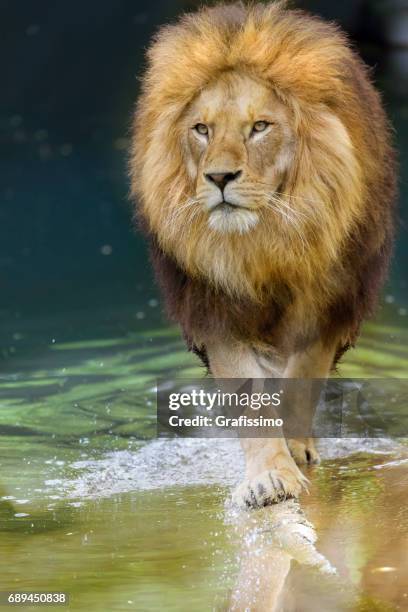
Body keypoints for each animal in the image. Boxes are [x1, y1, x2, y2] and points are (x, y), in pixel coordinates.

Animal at [129, 1, 396, 506]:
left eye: (259, 127)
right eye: (201, 129)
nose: (219, 178)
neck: (264, 241)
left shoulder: (329, 304)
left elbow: (301, 382)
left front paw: (295, 449)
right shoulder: (216, 311)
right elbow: (251, 401)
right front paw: (270, 477)